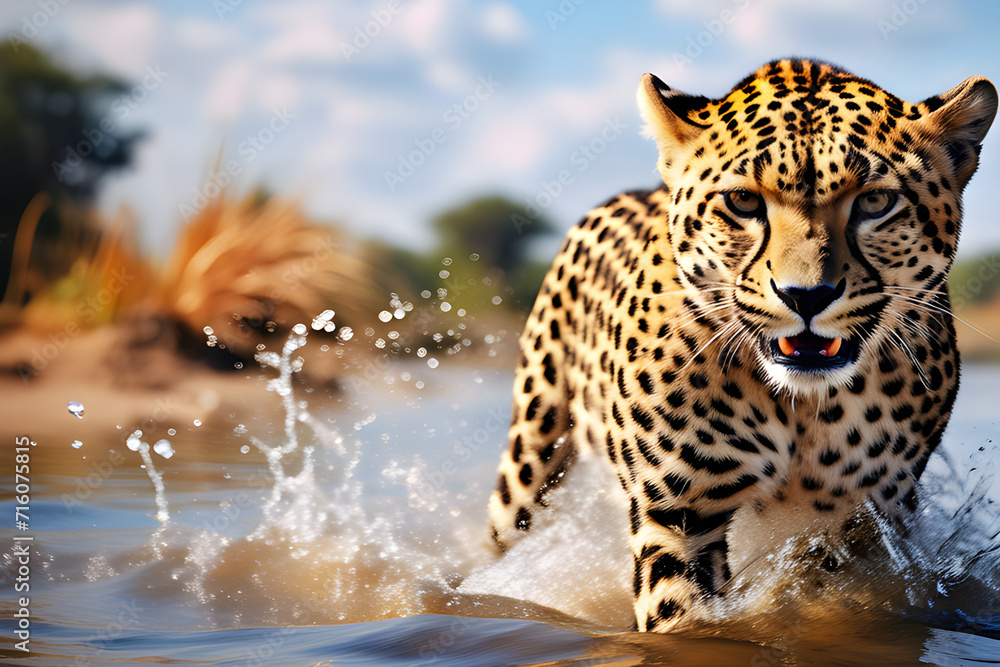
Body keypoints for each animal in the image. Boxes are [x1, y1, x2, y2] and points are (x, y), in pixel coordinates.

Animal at [487, 58, 997, 632]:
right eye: (743, 201)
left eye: (875, 201)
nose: (806, 295)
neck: (802, 407)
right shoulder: (678, 513)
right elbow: (677, 615)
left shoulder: (866, 525)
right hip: (531, 455)